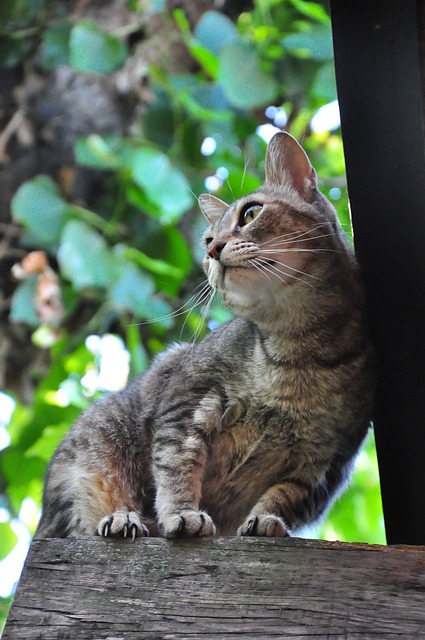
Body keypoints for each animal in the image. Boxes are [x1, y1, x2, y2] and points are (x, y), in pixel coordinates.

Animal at [37, 132, 374, 544]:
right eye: (208, 239)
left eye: (251, 213)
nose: (213, 250)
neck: (299, 351)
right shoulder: (185, 401)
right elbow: (177, 467)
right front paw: (182, 514)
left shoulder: (324, 463)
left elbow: (283, 497)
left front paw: (265, 521)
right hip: (94, 454)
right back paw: (122, 518)